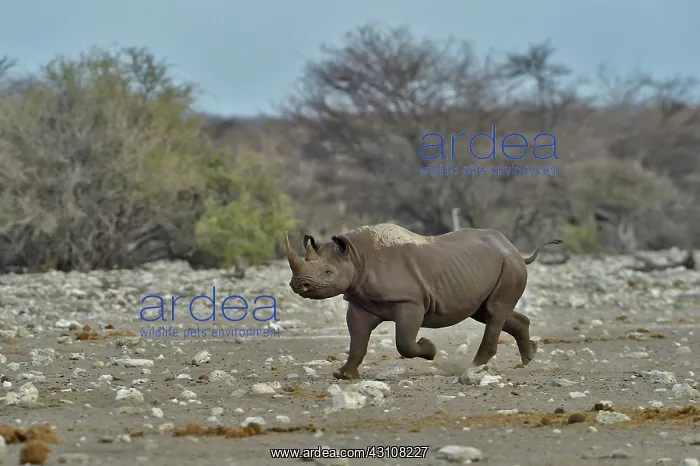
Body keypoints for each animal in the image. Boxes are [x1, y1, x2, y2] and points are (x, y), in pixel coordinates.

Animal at [284, 223, 562, 380]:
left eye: (328, 272)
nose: (299, 285)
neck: (355, 256)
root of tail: (515, 249)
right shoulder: (360, 302)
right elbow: (358, 340)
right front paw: (343, 375)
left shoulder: (410, 301)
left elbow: (404, 343)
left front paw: (430, 349)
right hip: (484, 267)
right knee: (487, 312)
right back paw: (529, 355)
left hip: (509, 265)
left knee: (494, 312)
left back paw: (470, 368)